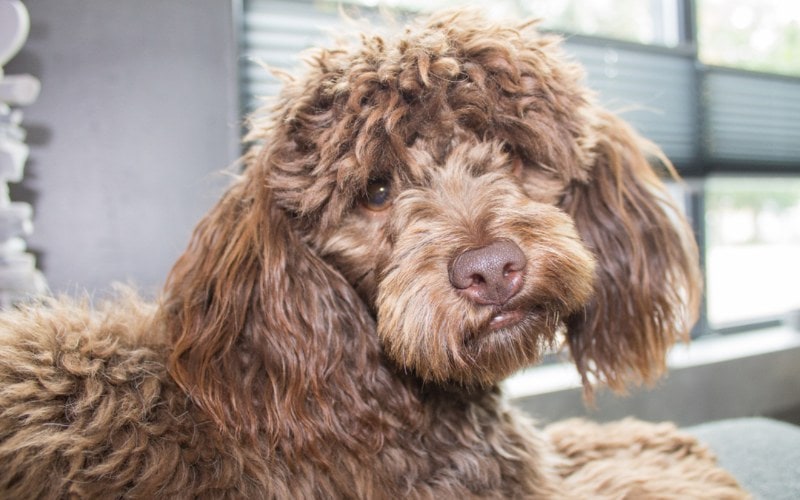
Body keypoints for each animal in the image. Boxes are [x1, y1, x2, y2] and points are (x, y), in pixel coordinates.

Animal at [3, 9, 748, 498]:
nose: (490, 270)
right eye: (377, 191)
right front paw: (674, 447)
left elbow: (589, 444)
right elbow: (634, 471)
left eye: (509, 150)